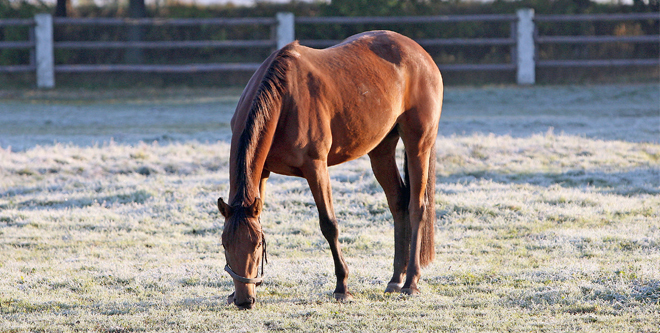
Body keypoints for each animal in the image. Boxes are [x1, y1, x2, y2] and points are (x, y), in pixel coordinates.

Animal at [218, 29, 444, 308]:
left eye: (258, 245)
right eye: (225, 244)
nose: (243, 299)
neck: (284, 98)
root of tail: (419, 53)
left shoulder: (315, 167)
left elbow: (329, 225)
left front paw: (342, 286)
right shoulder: (263, 172)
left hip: (418, 145)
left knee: (417, 207)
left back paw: (411, 281)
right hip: (381, 150)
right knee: (398, 203)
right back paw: (395, 279)